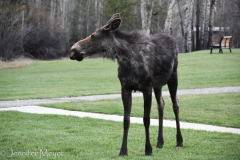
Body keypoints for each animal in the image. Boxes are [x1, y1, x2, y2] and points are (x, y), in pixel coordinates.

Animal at [68, 13, 183, 156]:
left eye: (93, 36)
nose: (73, 50)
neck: (126, 59)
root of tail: (174, 41)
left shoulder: (146, 88)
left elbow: (146, 119)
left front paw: (148, 149)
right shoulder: (125, 88)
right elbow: (126, 120)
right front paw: (123, 150)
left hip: (173, 76)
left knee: (175, 105)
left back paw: (179, 141)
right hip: (158, 84)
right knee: (161, 105)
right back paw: (160, 142)